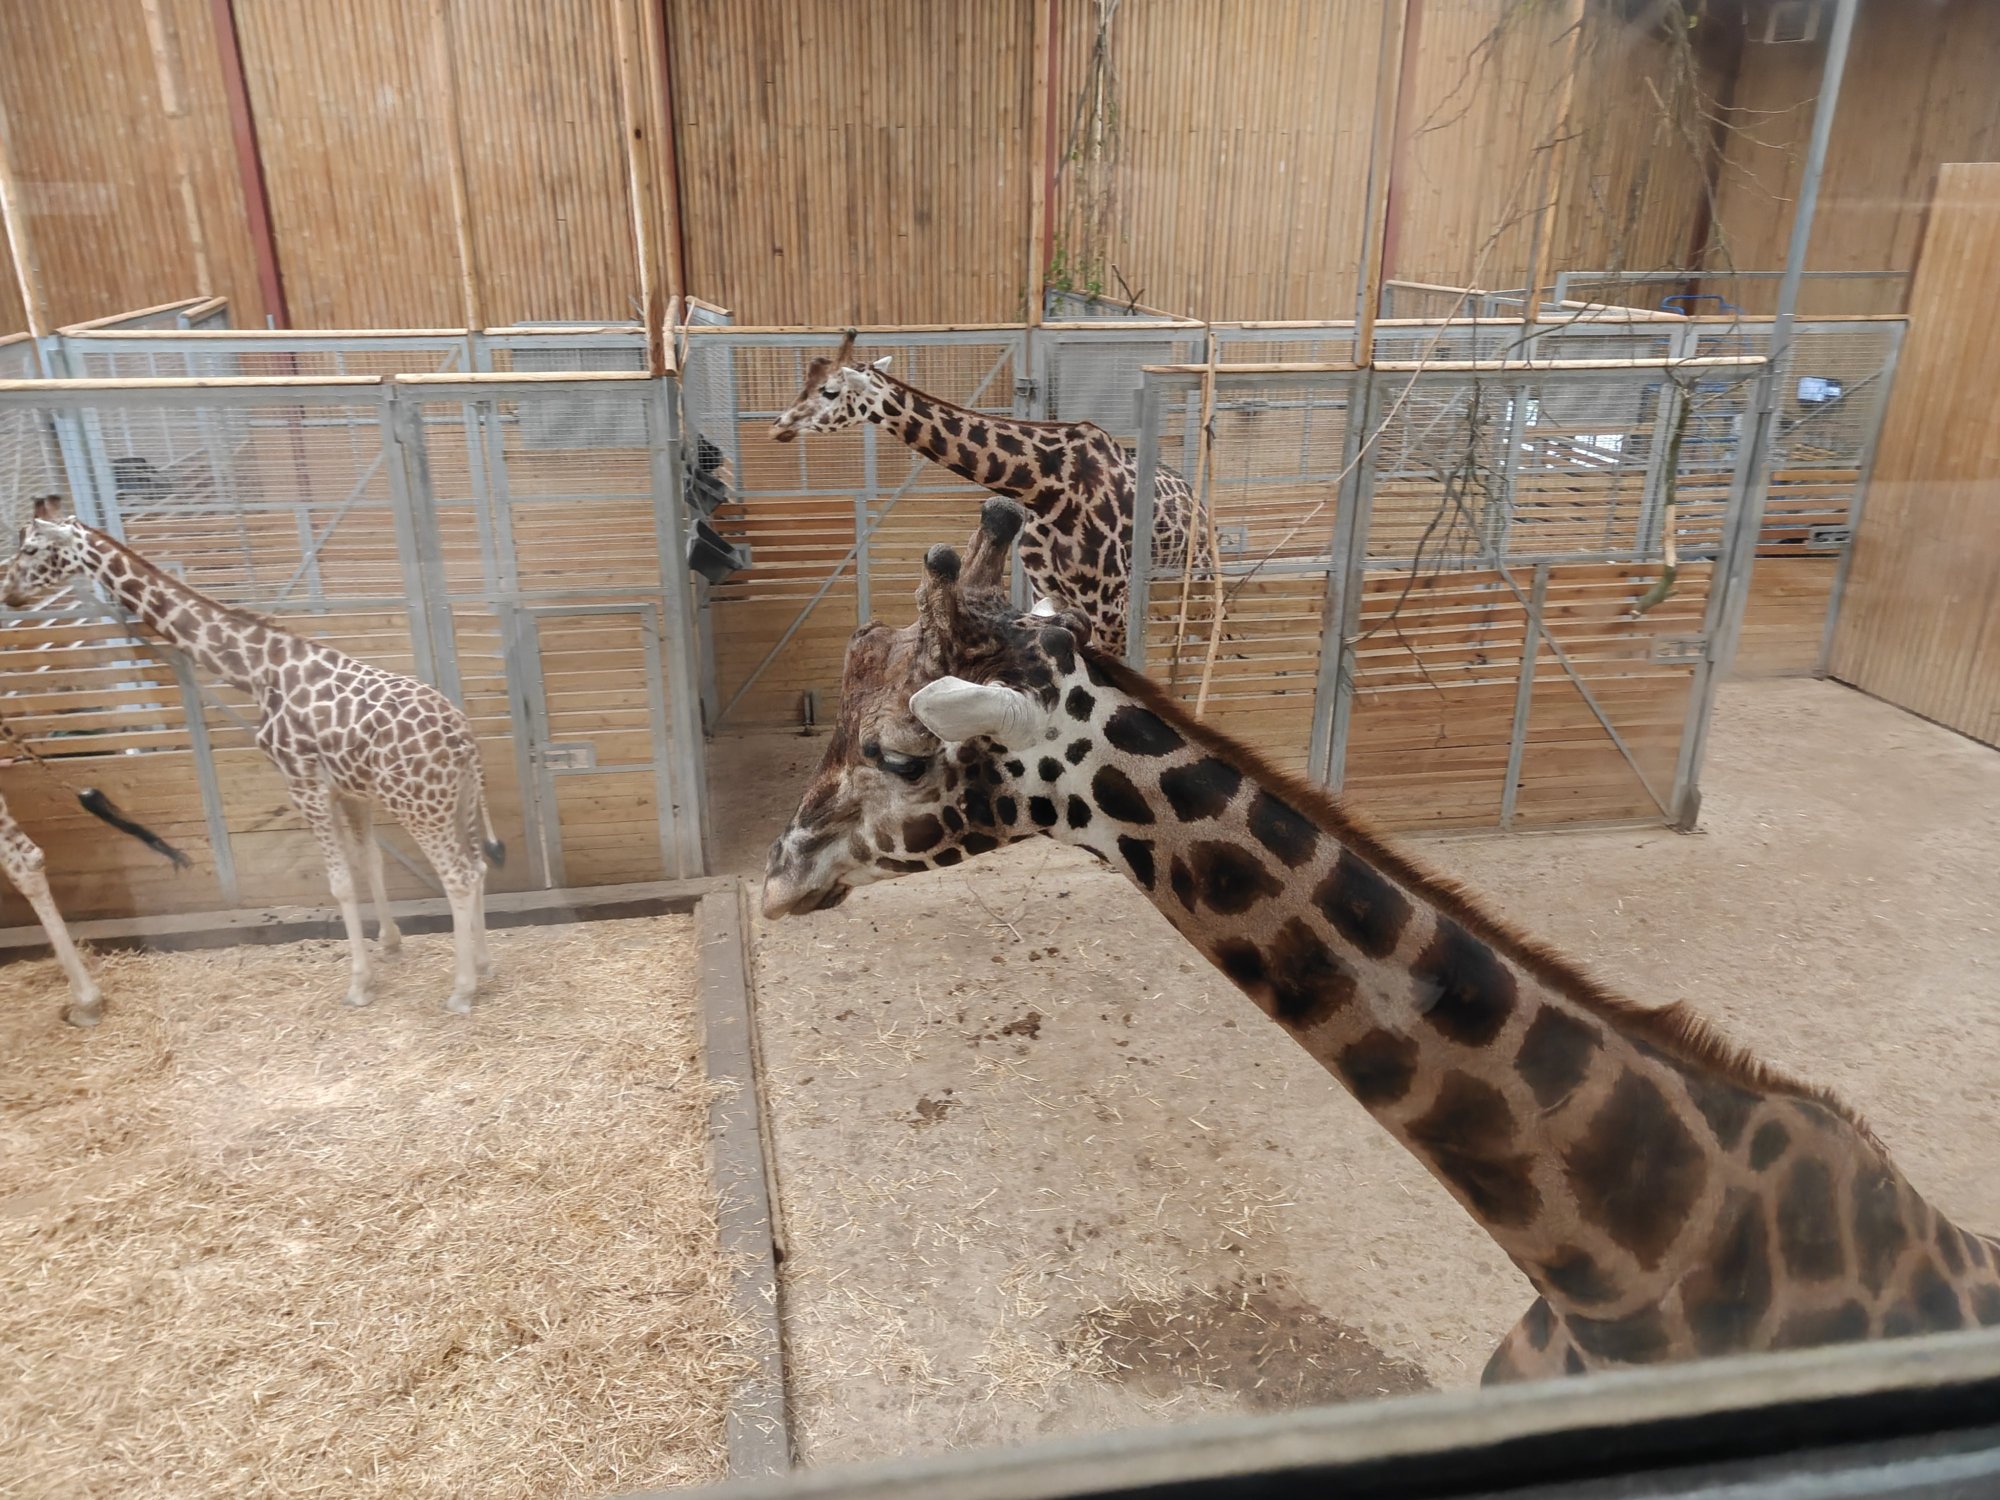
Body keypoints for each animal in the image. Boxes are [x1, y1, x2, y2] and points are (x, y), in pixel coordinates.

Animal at [1, 497, 505, 1014]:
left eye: (30, 548)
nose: (9, 594)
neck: (258, 669)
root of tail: (465, 741)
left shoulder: (302, 783)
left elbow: (340, 882)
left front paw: (359, 984)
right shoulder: (351, 791)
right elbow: (370, 863)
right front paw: (390, 945)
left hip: (420, 808)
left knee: (459, 876)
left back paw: (461, 990)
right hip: (457, 802)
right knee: (478, 866)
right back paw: (484, 966)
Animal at [769, 331, 1208, 659]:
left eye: (829, 392)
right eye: (803, 384)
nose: (778, 426)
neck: (1045, 490)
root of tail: (1199, 504)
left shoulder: (1108, 603)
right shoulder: (1048, 590)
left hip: (1193, 575)